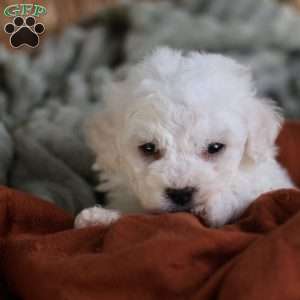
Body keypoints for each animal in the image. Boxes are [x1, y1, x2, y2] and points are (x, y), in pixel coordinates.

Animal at [74, 48, 294, 229]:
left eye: (215, 147)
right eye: (148, 148)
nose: (180, 193)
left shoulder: (270, 184)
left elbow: (251, 193)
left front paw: (215, 206)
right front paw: (97, 218)